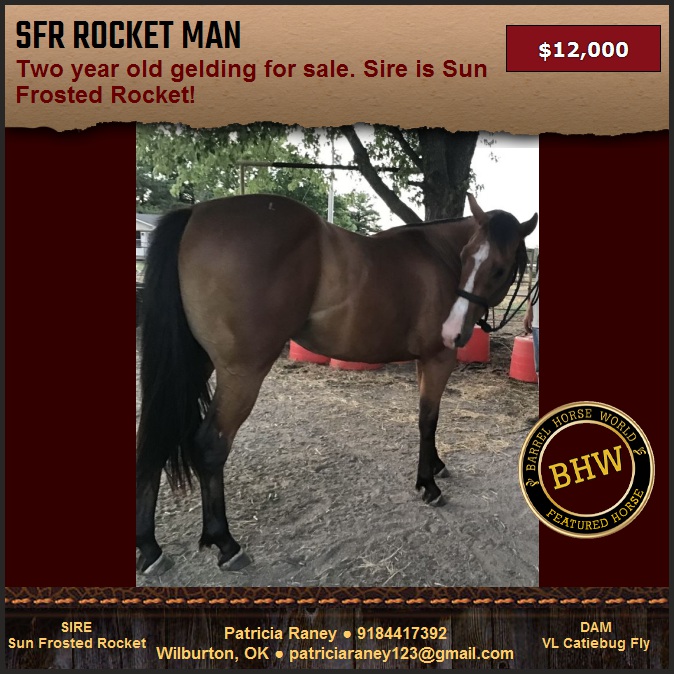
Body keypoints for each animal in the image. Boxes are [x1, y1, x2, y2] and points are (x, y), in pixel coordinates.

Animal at [136, 193, 537, 574]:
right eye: (467, 256)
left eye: (497, 267)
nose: (453, 331)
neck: (440, 256)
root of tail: (196, 213)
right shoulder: (438, 359)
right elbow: (428, 420)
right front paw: (428, 484)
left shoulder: (427, 361)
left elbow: (430, 421)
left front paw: (436, 465)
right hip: (242, 373)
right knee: (210, 445)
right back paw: (224, 543)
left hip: (197, 363)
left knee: (157, 435)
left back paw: (150, 549)